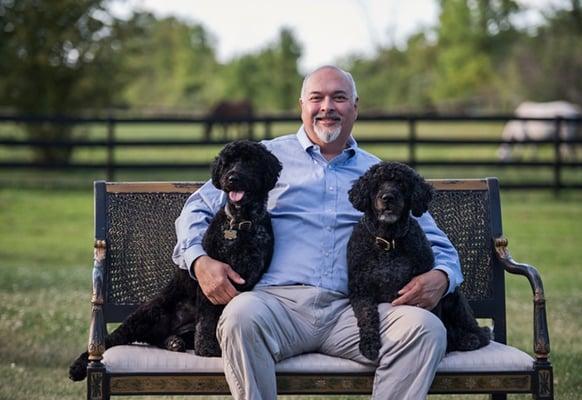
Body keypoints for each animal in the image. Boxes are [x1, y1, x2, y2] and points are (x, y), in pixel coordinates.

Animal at [68, 141, 282, 382]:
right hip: (148, 314)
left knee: (159, 338)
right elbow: (208, 319)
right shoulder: (210, 282)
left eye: (249, 161)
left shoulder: (248, 277)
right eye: (227, 163)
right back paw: (79, 366)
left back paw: (173, 342)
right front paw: (207, 349)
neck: (240, 222)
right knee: (113, 339)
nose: (231, 178)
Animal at [350, 161, 490, 360]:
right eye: (376, 184)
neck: (388, 241)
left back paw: (469, 340)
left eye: (401, 183)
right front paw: (369, 345)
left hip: (453, 298)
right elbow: (367, 316)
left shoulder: (427, 293)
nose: (387, 197)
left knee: (478, 332)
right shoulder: (360, 291)